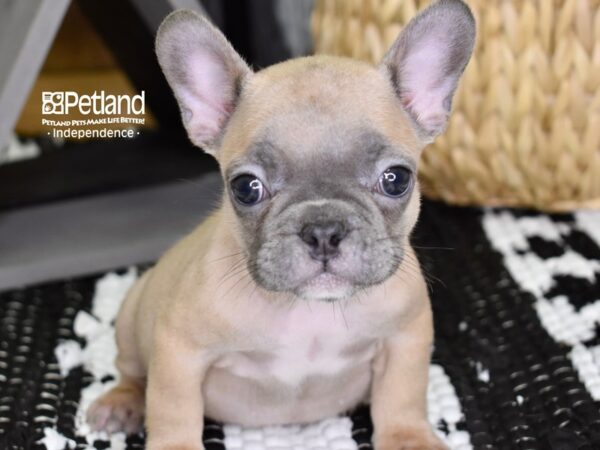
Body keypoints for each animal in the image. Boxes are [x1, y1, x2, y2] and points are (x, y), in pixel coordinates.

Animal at [86, 1, 476, 448]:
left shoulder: (405, 338)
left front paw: (408, 438)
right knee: (132, 371)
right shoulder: (179, 351)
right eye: (246, 188)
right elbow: (173, 411)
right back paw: (122, 402)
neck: (307, 313)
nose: (323, 230)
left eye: (396, 179)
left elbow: (402, 396)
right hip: (132, 317)